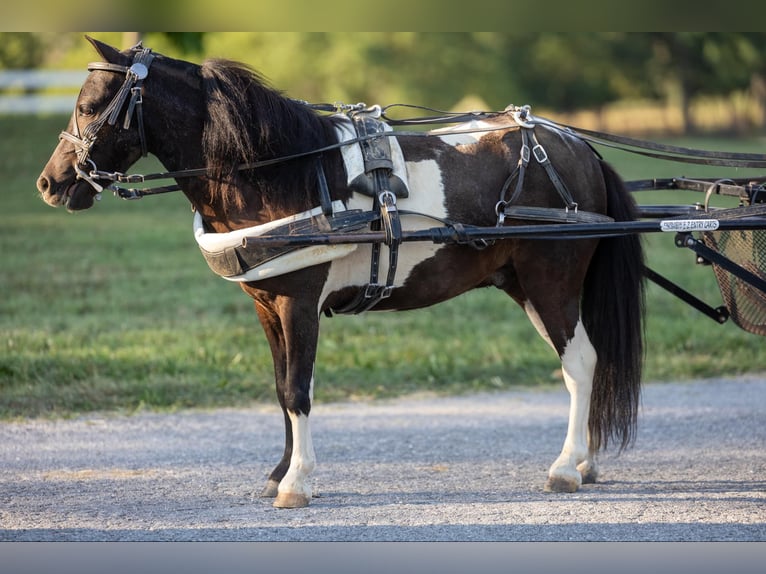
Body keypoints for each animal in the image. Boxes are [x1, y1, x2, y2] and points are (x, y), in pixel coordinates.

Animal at [37, 37, 645, 508]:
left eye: (88, 106)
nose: (50, 183)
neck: (284, 171)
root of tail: (578, 147)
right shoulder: (266, 306)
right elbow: (282, 386)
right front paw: (281, 472)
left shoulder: (299, 301)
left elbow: (297, 390)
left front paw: (297, 483)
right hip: (523, 284)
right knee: (577, 363)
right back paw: (583, 463)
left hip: (551, 282)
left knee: (581, 363)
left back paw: (566, 466)